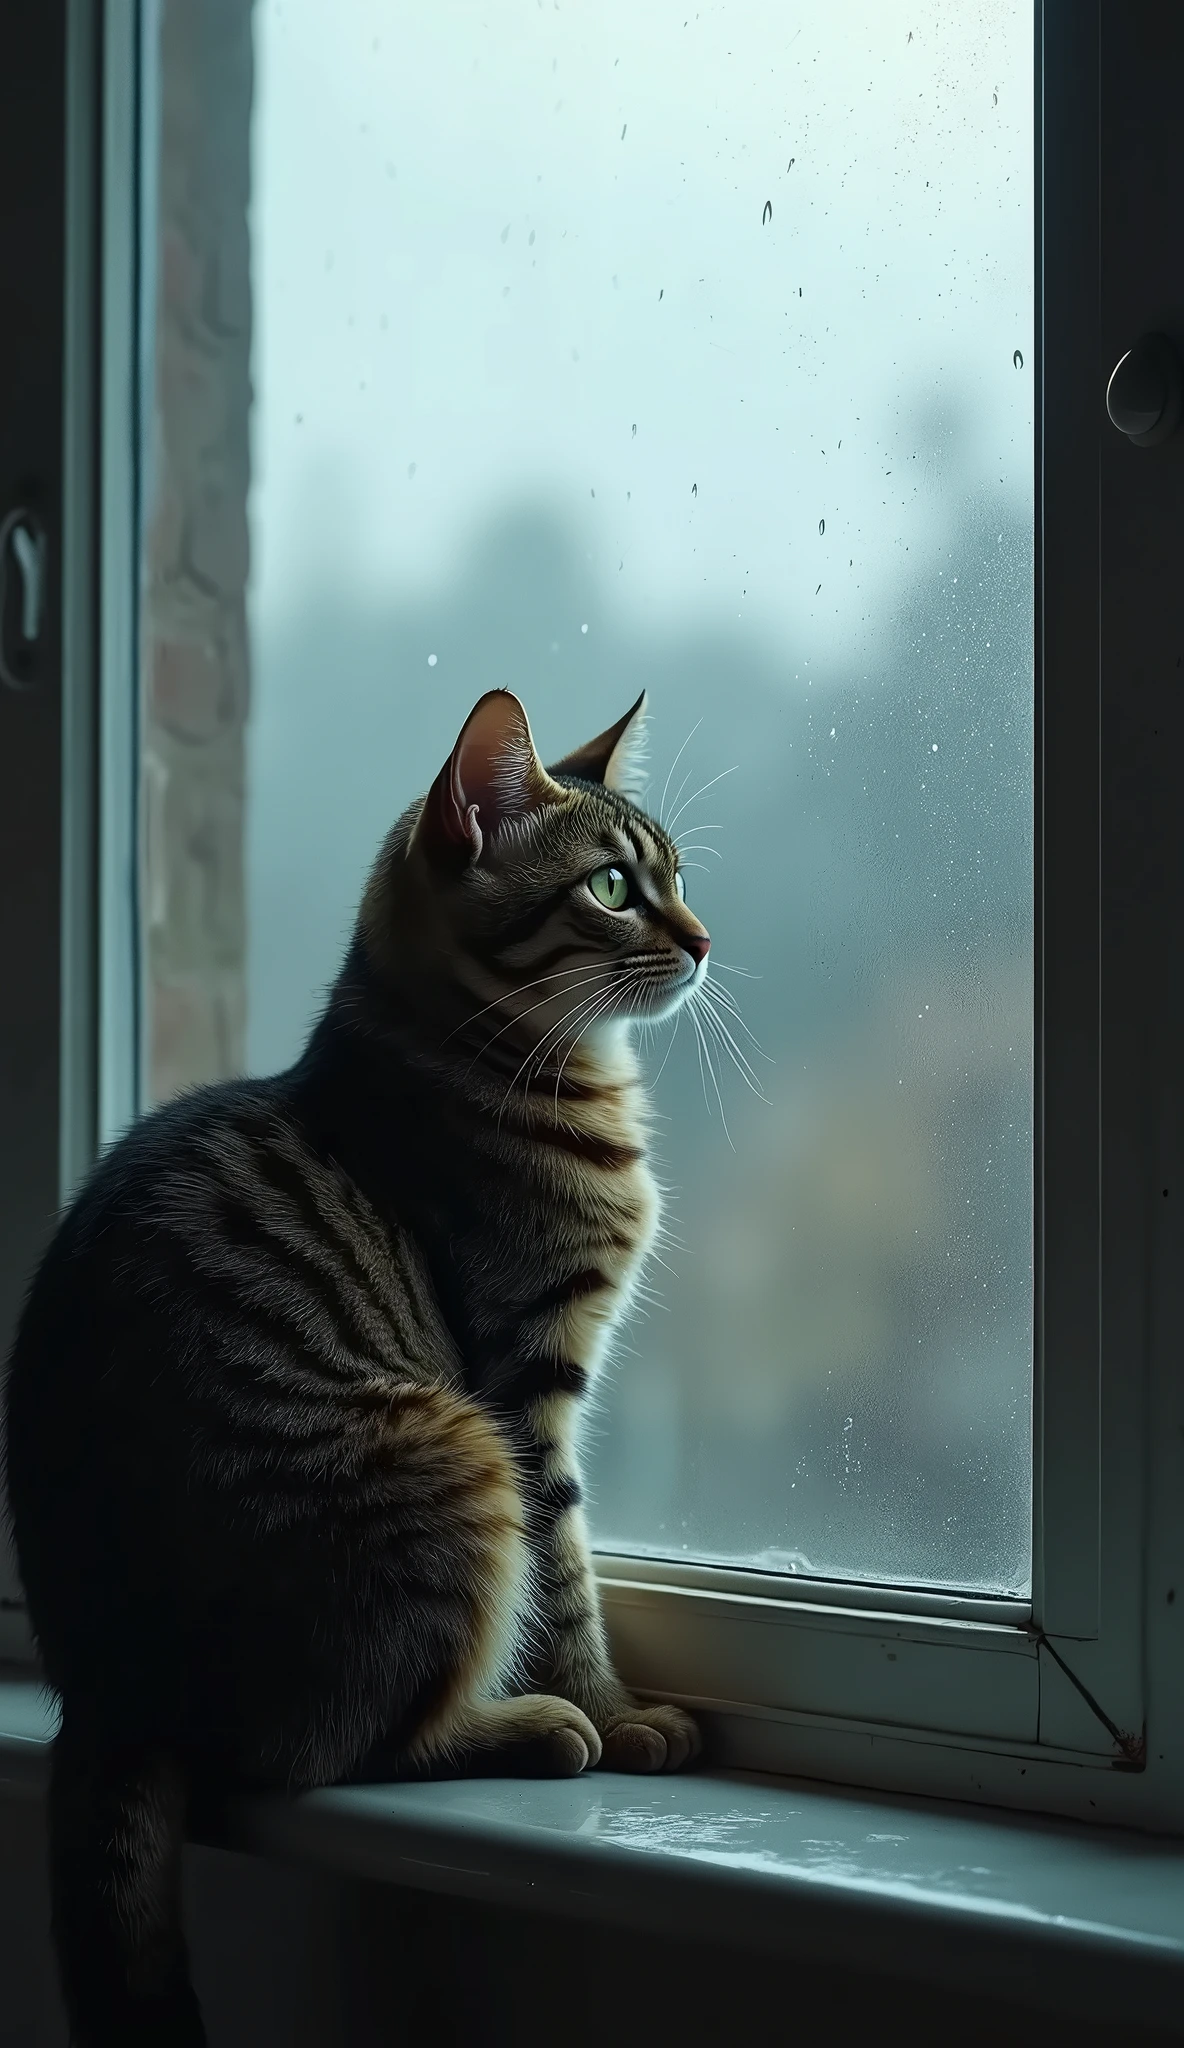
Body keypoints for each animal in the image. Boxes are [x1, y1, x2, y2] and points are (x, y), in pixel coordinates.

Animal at [4, 692, 708, 2048]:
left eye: (678, 877)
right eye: (611, 885)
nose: (703, 939)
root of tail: (106, 1689)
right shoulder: (526, 1383)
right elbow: (569, 1574)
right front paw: (614, 1705)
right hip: (446, 1453)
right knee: (330, 1752)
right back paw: (534, 1727)